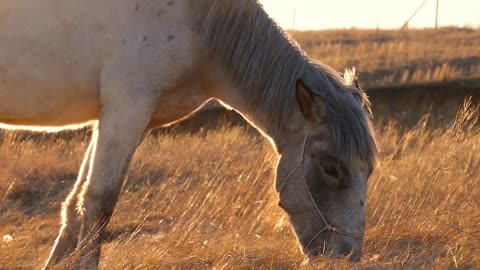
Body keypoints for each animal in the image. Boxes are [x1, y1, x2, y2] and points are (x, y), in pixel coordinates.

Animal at [0, 0, 376, 268]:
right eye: (330, 167)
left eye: (368, 169)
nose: (346, 255)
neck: (198, 25)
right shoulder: (127, 107)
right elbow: (100, 204)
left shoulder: (125, 121)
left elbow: (75, 204)